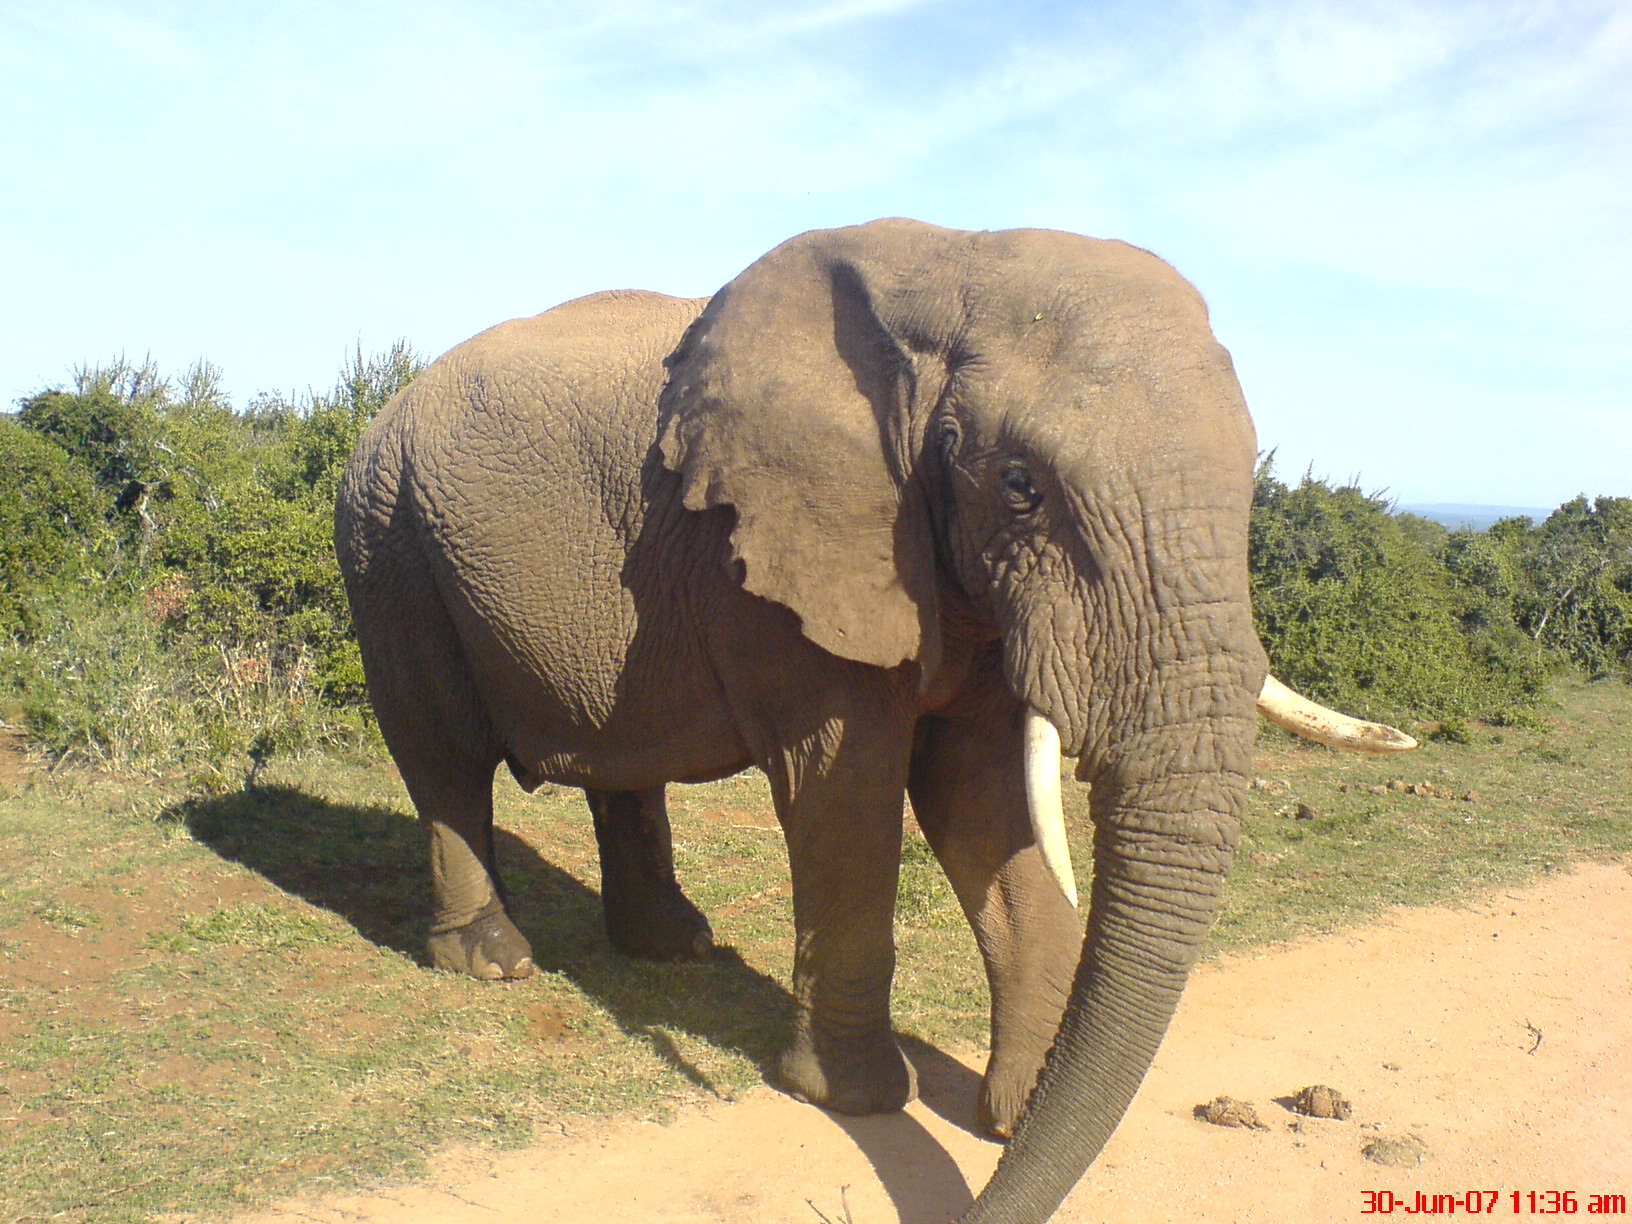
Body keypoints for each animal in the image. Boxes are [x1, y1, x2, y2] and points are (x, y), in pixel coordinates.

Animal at [334, 218, 1413, 1223]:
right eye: (1021, 488)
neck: (951, 272)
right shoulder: (771, 561)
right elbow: (844, 796)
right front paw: (854, 1099)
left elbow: (980, 799)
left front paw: (1015, 1114)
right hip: (388, 544)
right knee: (443, 757)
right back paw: (494, 963)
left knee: (616, 761)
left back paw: (676, 947)